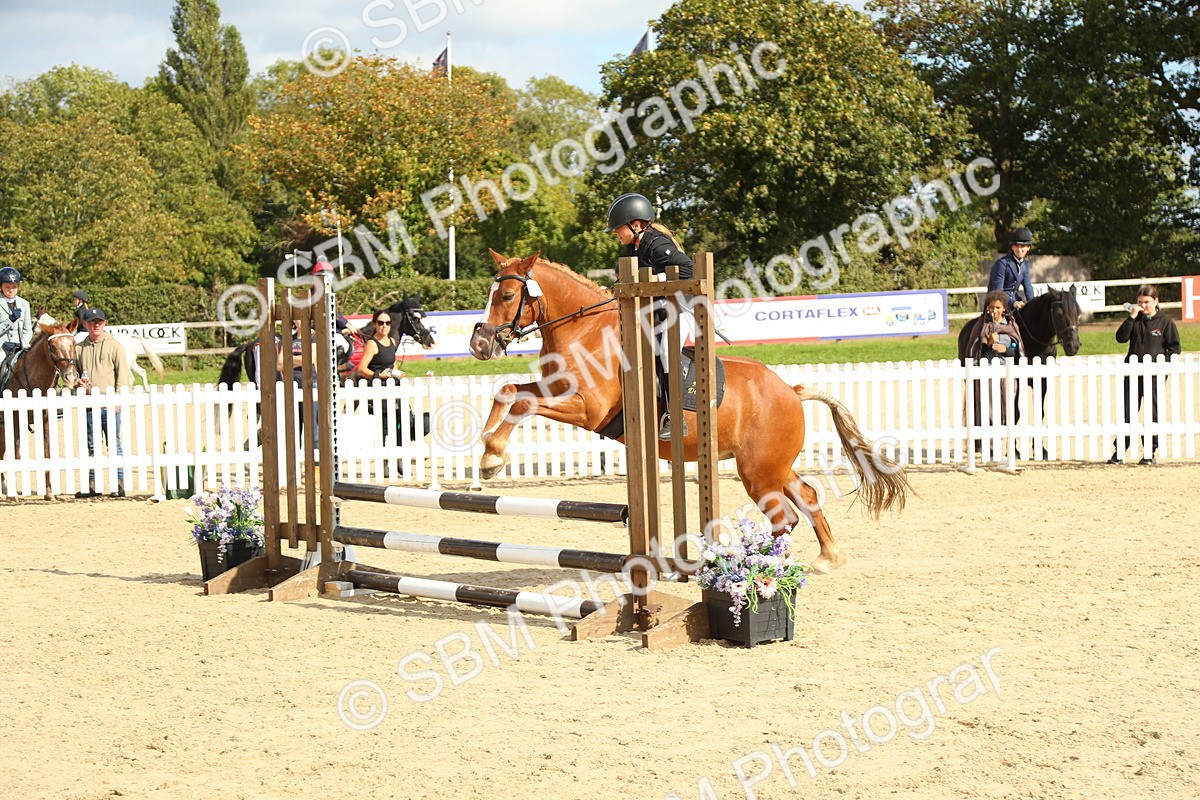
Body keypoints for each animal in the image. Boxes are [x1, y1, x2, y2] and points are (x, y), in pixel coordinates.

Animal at [0, 319, 82, 499]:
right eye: (52, 346)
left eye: (73, 343)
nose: (71, 377)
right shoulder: (14, 422)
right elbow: (16, 455)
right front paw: (13, 494)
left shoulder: (46, 420)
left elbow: (47, 452)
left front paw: (49, 492)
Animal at [467, 251, 909, 574]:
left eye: (506, 297)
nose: (480, 345)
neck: (585, 332)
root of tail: (791, 391)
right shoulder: (556, 391)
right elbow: (508, 391)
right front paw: (487, 452)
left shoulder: (586, 409)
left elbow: (522, 402)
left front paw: (492, 457)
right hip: (772, 466)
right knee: (807, 496)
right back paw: (827, 557)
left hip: (759, 473)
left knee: (784, 516)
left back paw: (764, 565)